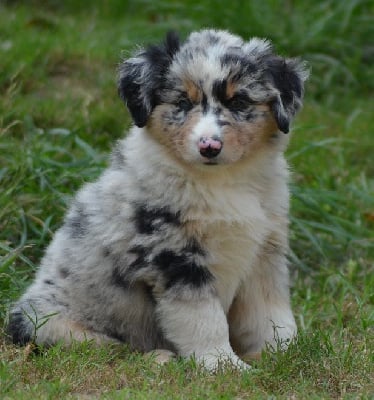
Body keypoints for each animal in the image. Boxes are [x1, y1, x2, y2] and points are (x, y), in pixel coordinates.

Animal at [7, 29, 308, 370]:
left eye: (239, 101)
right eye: (182, 102)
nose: (209, 146)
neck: (221, 182)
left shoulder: (264, 252)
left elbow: (269, 312)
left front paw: (284, 352)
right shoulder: (176, 256)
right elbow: (204, 319)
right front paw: (224, 366)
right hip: (45, 319)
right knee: (106, 349)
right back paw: (159, 357)